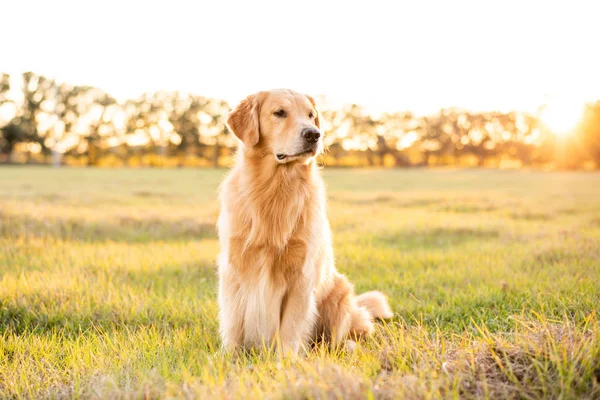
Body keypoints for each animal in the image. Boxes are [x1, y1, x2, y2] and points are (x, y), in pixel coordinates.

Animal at [216, 89, 394, 354]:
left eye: (311, 115)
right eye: (279, 113)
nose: (313, 134)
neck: (275, 189)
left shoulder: (301, 274)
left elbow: (291, 327)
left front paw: (286, 359)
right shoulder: (234, 270)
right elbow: (233, 324)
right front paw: (228, 357)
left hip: (340, 293)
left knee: (346, 334)